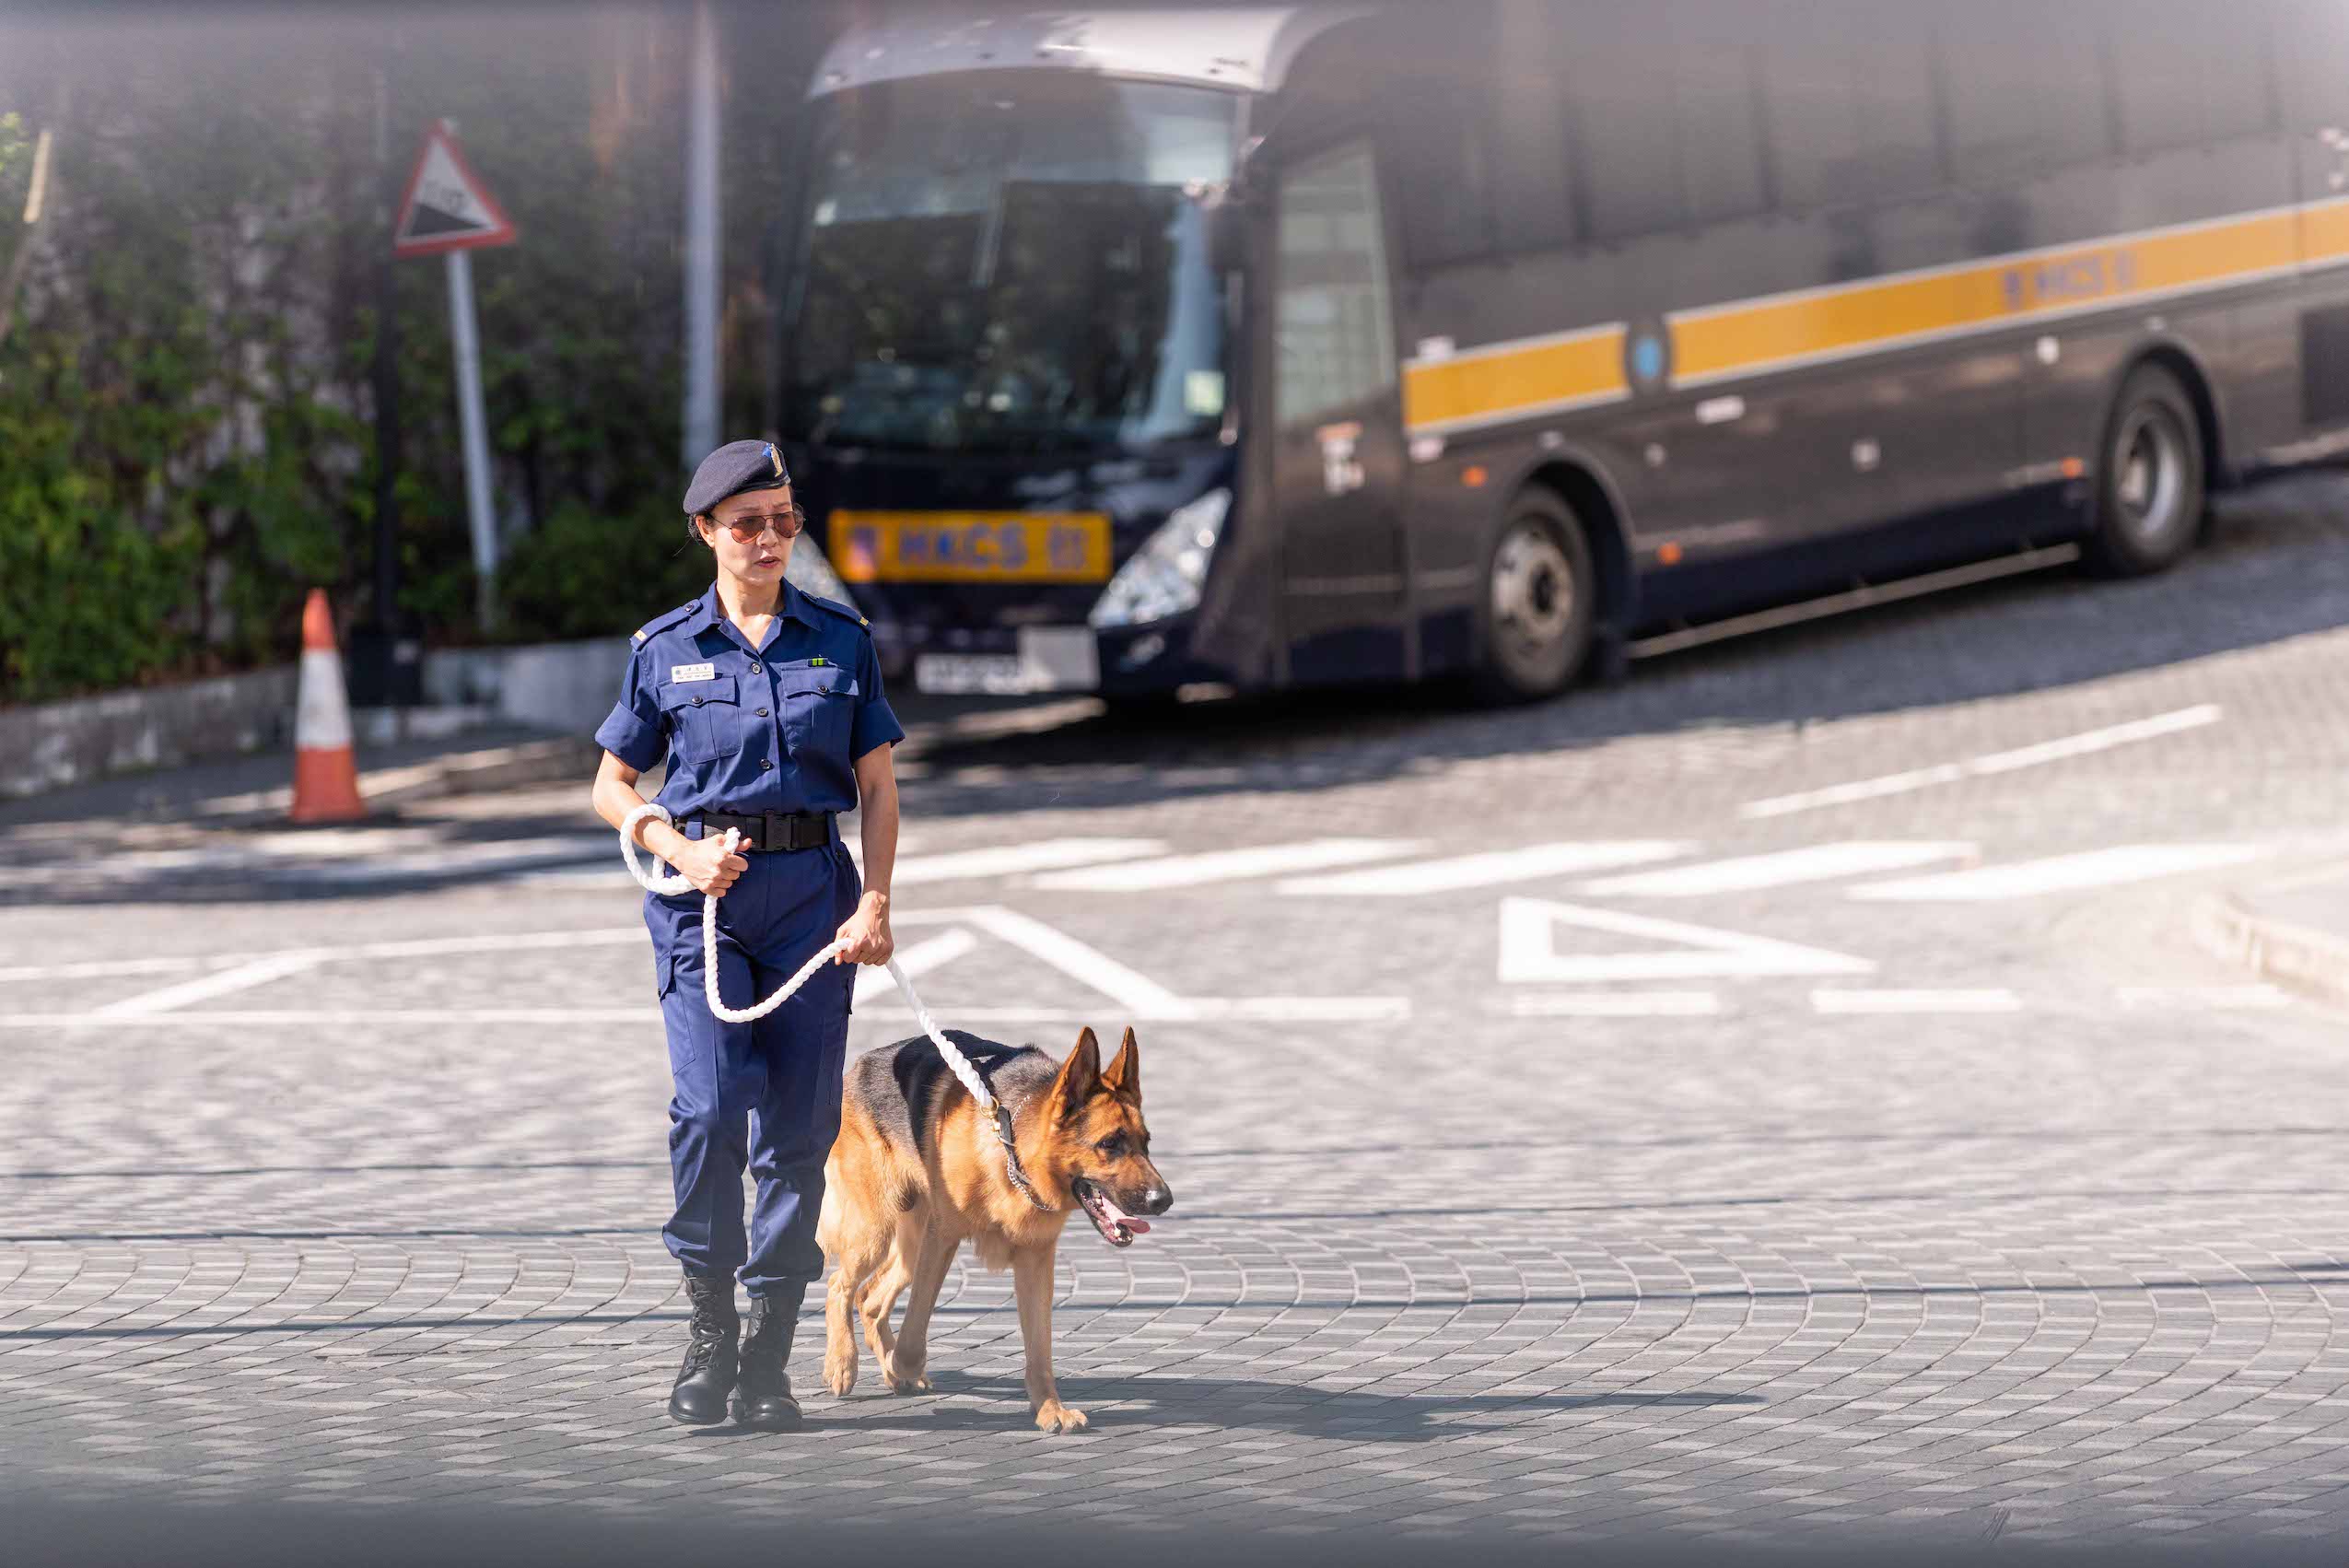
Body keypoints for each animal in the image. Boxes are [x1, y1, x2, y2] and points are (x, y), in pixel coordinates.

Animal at [817, 1024, 1174, 1429]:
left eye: (1146, 1144)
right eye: (1109, 1144)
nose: (1164, 1201)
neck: (1011, 1146)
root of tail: (859, 1066)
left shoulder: (1036, 1262)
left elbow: (1040, 1349)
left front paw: (1049, 1407)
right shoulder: (941, 1240)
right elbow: (914, 1330)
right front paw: (900, 1365)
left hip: (908, 1248)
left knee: (870, 1298)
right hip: (876, 1232)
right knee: (840, 1285)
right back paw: (842, 1363)